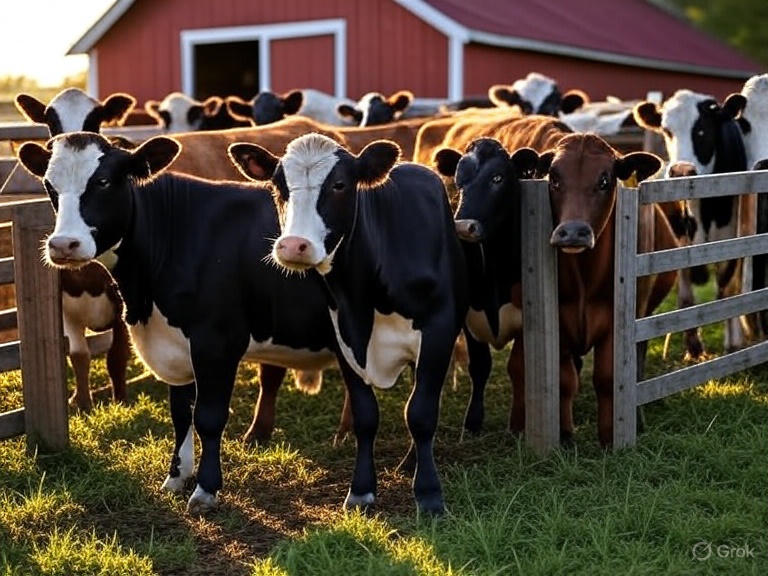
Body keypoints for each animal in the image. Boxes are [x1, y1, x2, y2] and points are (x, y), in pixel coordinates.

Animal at [17, 132, 350, 513]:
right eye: (49, 186)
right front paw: (177, 475)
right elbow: (180, 413)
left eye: (102, 181)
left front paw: (206, 488)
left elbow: (209, 416)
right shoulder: (173, 346)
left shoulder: (216, 343)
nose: (63, 245)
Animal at [228, 133, 468, 514]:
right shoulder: (343, 335)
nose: (293, 245)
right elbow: (365, 416)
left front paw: (429, 494)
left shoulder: (438, 330)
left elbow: (421, 413)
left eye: (339, 184)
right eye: (279, 186)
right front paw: (361, 490)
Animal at [634, 89, 754, 354]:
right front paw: (693, 344)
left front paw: (732, 343)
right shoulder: (680, 239)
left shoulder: (731, 237)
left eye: (703, 129)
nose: (681, 171)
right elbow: (687, 295)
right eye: (667, 130)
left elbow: (726, 289)